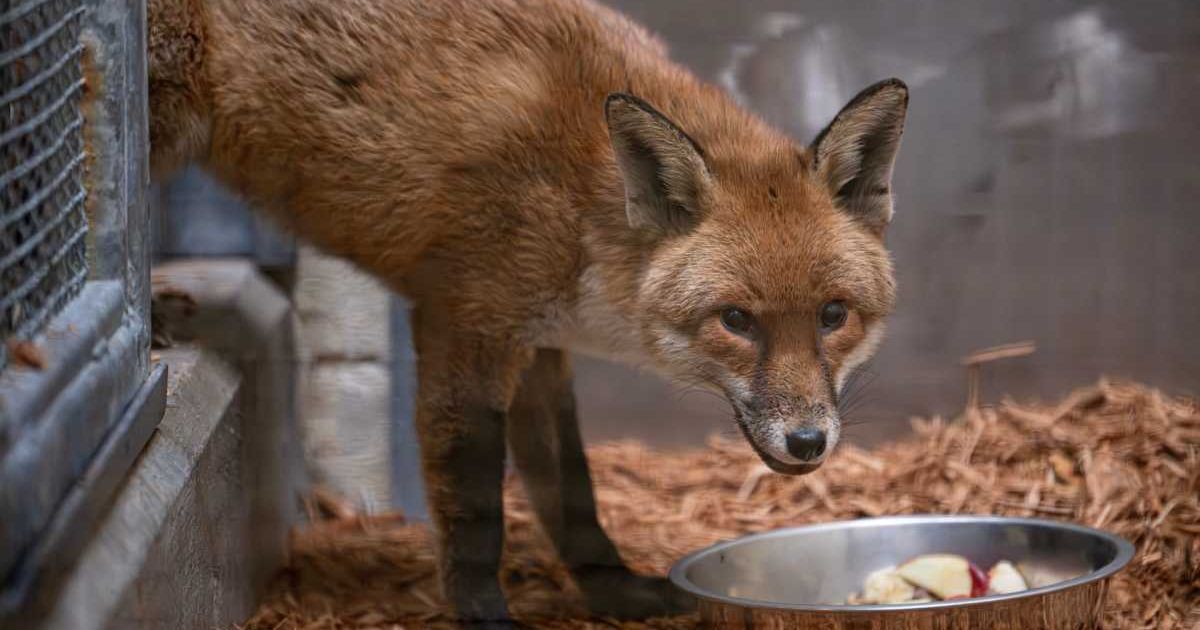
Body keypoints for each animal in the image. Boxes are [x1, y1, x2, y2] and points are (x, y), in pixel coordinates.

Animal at [146, 0, 906, 623]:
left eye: (833, 315)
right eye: (737, 321)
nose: (808, 442)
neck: (580, 199)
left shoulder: (541, 345)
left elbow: (571, 490)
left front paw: (615, 592)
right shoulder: (464, 324)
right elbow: (476, 506)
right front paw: (484, 614)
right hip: (162, 117)